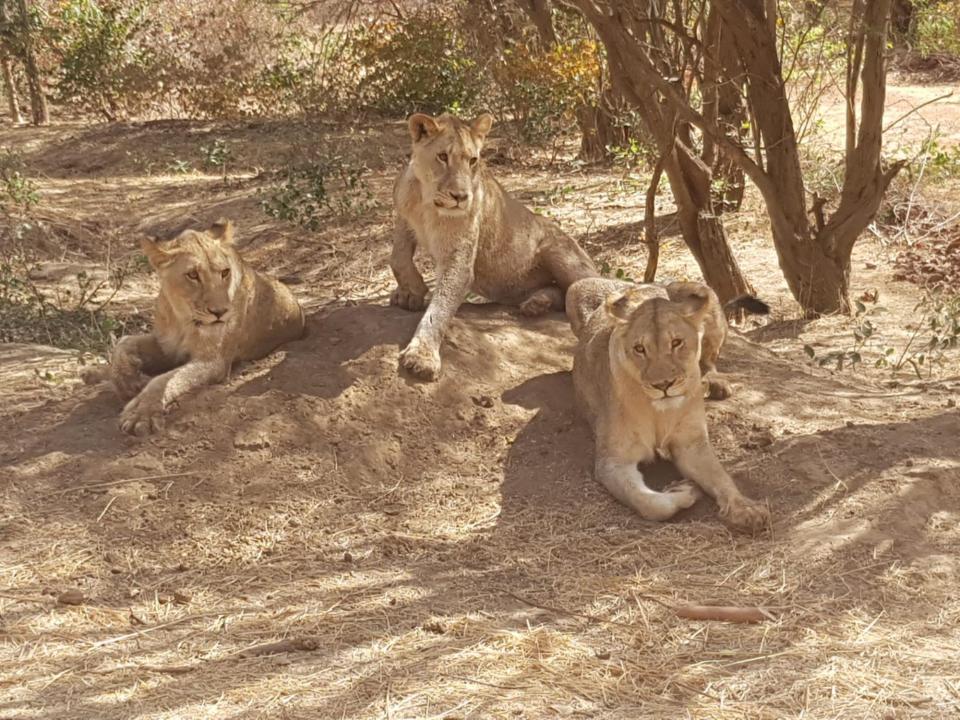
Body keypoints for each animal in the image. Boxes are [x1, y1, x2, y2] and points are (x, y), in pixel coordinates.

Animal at [86, 218, 306, 434]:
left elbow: (165, 380)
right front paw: (129, 384)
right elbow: (123, 343)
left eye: (225, 272)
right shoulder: (166, 347)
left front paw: (140, 412)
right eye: (192, 275)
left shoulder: (213, 361)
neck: (182, 318)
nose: (220, 312)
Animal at [568, 278, 768, 532]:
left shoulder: (691, 444)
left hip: (705, 293)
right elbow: (650, 504)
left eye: (676, 343)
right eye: (639, 348)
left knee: (709, 362)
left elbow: (721, 477)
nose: (664, 384)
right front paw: (685, 489)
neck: (659, 412)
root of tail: (642, 283)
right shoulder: (613, 461)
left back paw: (716, 384)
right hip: (577, 288)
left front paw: (745, 509)